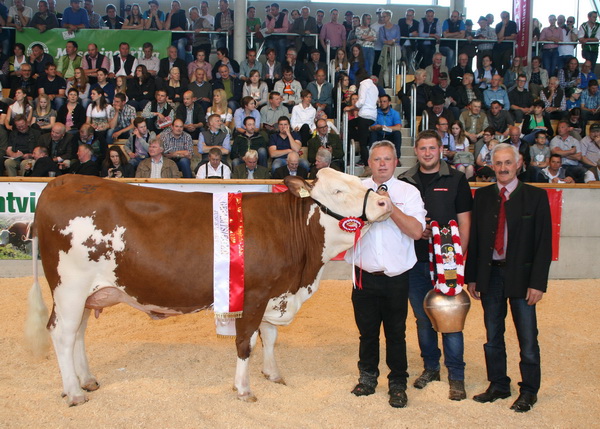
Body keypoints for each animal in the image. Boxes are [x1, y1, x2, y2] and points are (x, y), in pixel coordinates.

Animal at [27, 167, 394, 404]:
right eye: (338, 191)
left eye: (359, 181)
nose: (383, 203)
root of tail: (60, 182)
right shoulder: (254, 295)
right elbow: (247, 342)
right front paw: (244, 389)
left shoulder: (275, 293)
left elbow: (270, 336)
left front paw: (273, 374)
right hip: (70, 287)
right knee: (62, 333)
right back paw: (74, 392)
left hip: (89, 293)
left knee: (78, 332)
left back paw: (86, 380)